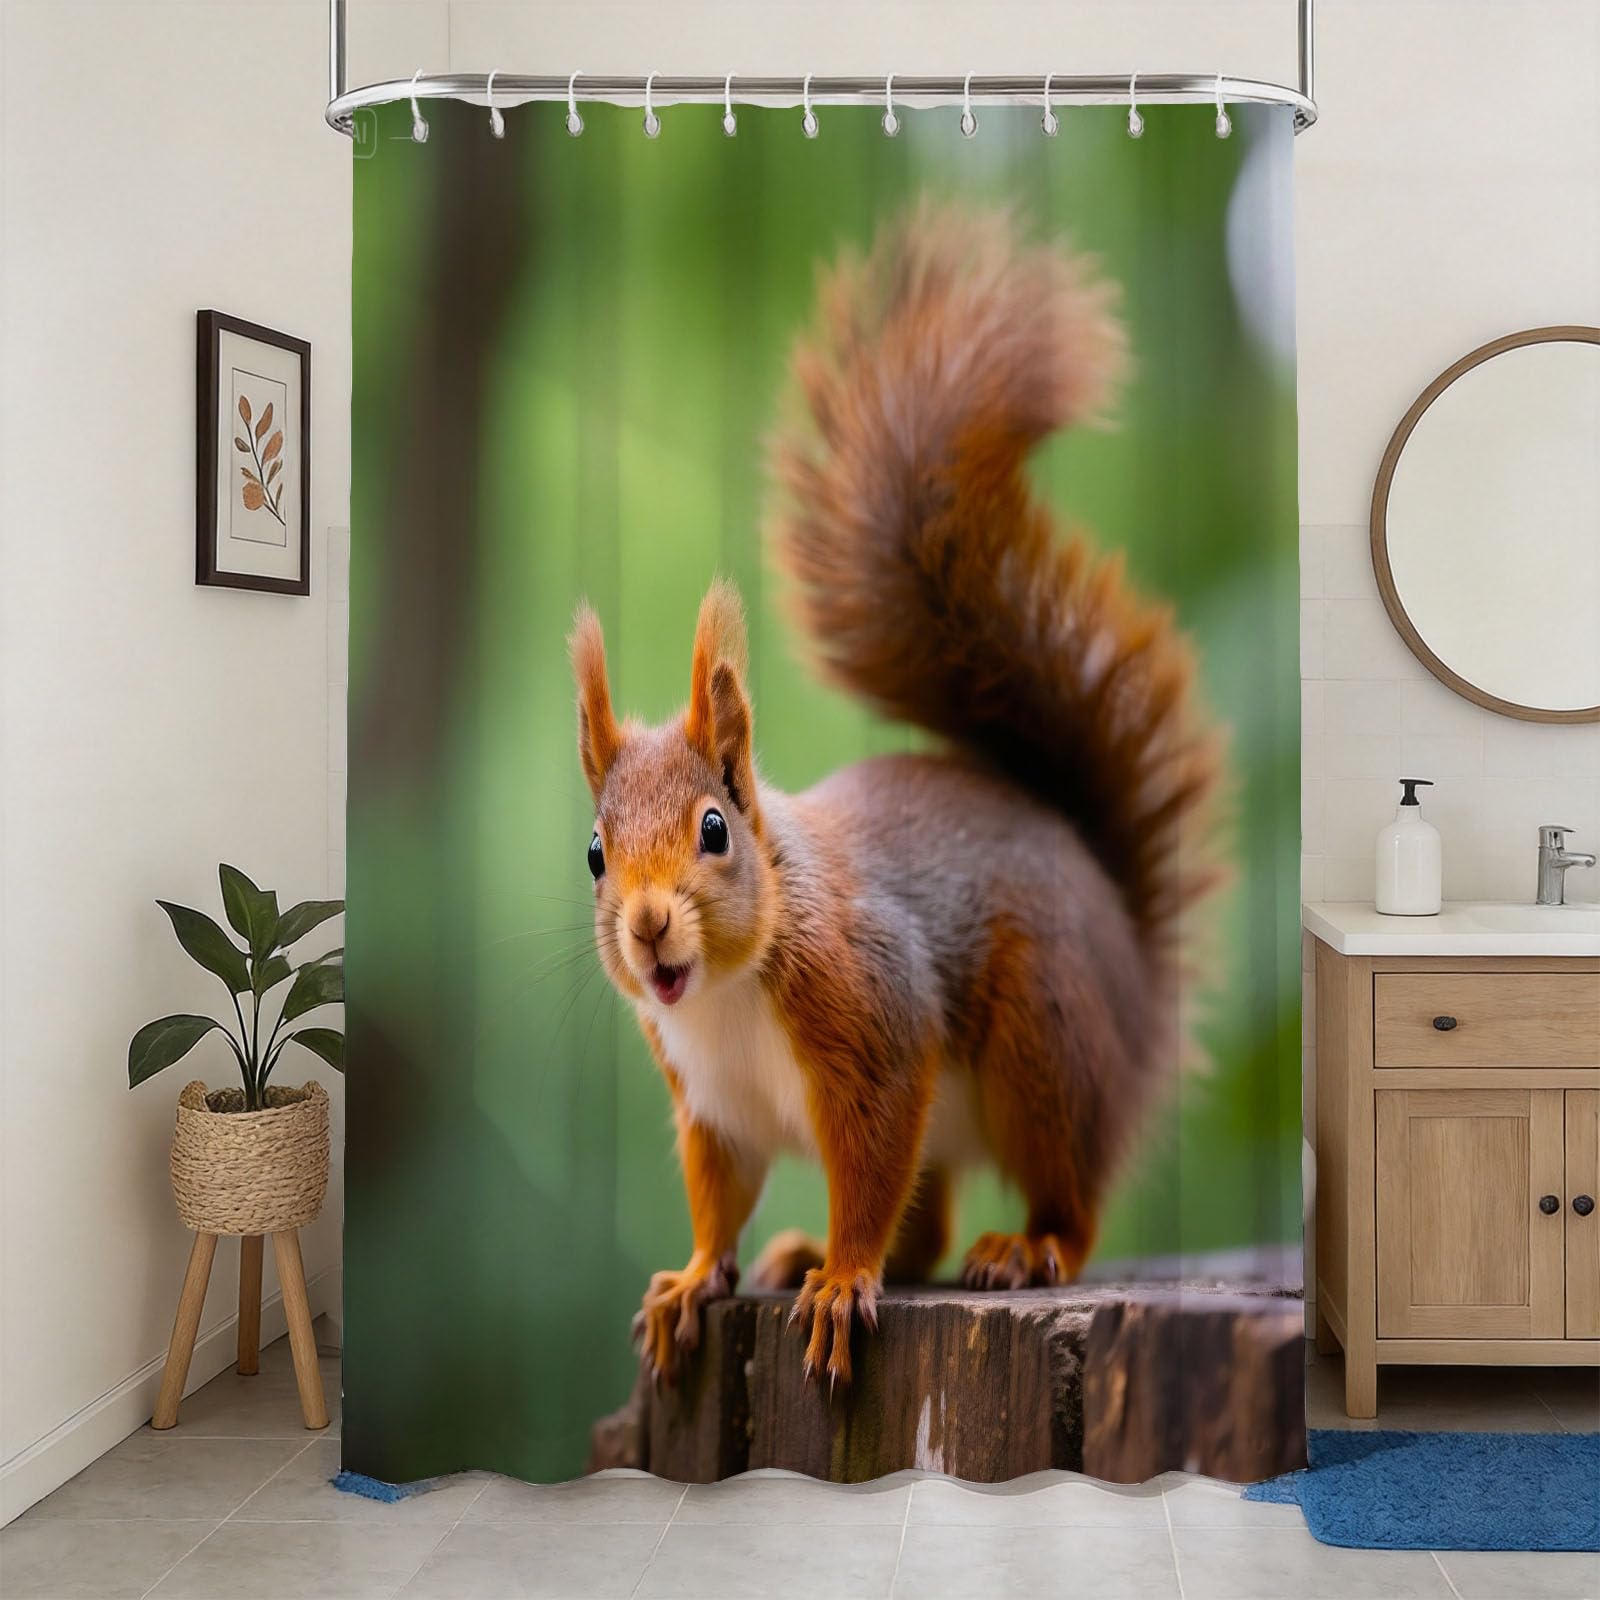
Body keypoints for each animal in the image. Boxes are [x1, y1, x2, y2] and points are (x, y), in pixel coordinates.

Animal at [570, 204, 1221, 1388]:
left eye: (716, 828)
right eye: (595, 854)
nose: (645, 929)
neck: (728, 994)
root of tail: (1139, 992)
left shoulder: (875, 1021)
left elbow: (871, 1161)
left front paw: (844, 1281)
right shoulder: (711, 1106)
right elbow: (719, 1195)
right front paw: (695, 1278)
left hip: (1043, 1037)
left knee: (1059, 1192)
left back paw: (1021, 1247)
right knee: (928, 1220)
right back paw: (803, 1251)